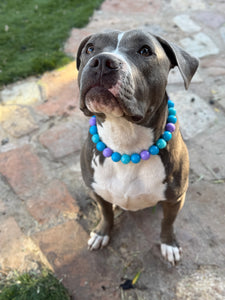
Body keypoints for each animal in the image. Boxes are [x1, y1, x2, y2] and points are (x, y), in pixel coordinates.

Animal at [76, 28, 199, 264]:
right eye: (90, 48)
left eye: (145, 50)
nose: (102, 62)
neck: (125, 140)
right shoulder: (95, 190)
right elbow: (106, 213)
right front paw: (102, 232)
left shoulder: (175, 198)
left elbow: (167, 222)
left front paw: (169, 244)